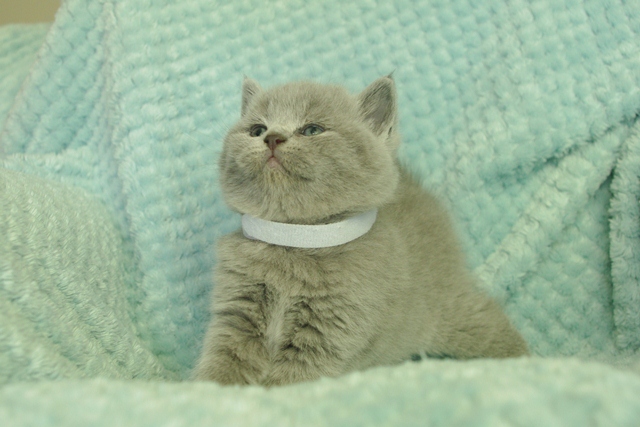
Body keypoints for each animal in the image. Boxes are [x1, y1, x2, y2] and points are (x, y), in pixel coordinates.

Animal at [193, 76, 529, 386]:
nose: (272, 138)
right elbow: (223, 365)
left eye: (312, 130)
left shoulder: (329, 332)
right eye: (257, 130)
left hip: (451, 308)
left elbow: (292, 382)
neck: (296, 237)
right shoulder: (236, 314)